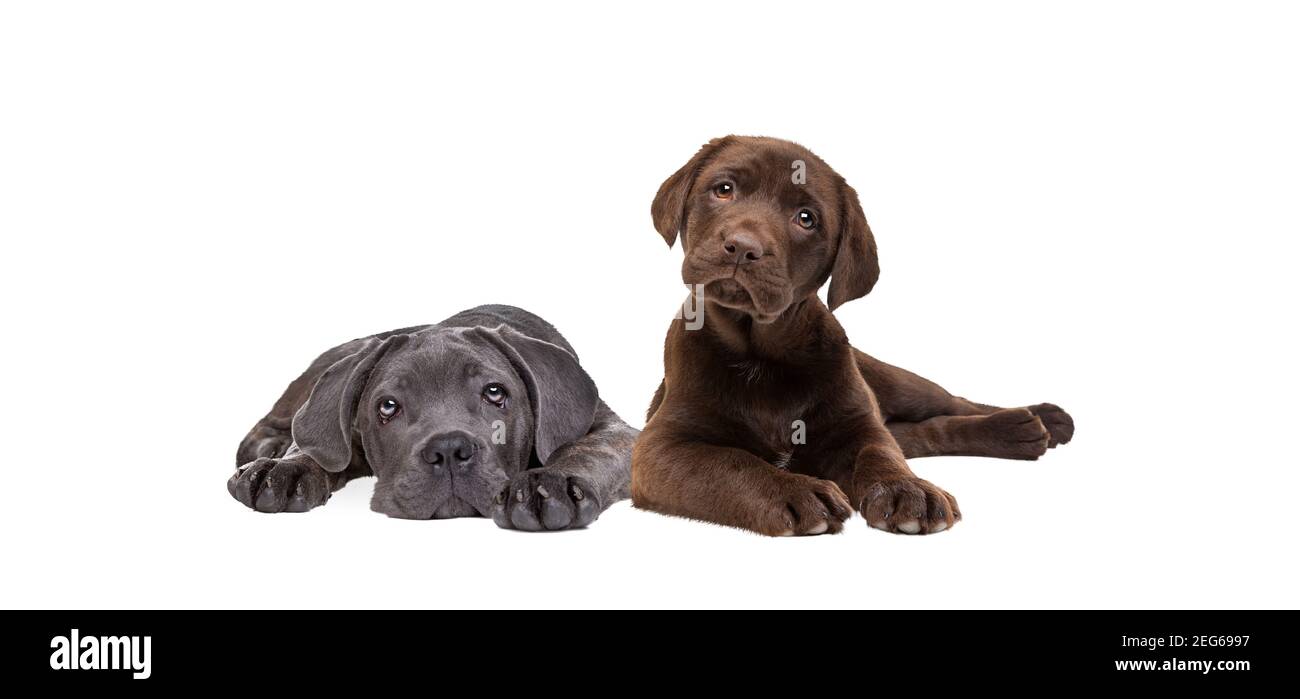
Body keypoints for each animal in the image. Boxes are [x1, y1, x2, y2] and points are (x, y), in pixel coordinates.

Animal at [236, 302, 642, 527]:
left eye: (495, 392)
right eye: (388, 406)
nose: (448, 449)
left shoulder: (613, 431)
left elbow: (588, 451)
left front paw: (548, 483)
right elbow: (317, 443)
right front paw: (286, 468)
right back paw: (268, 448)